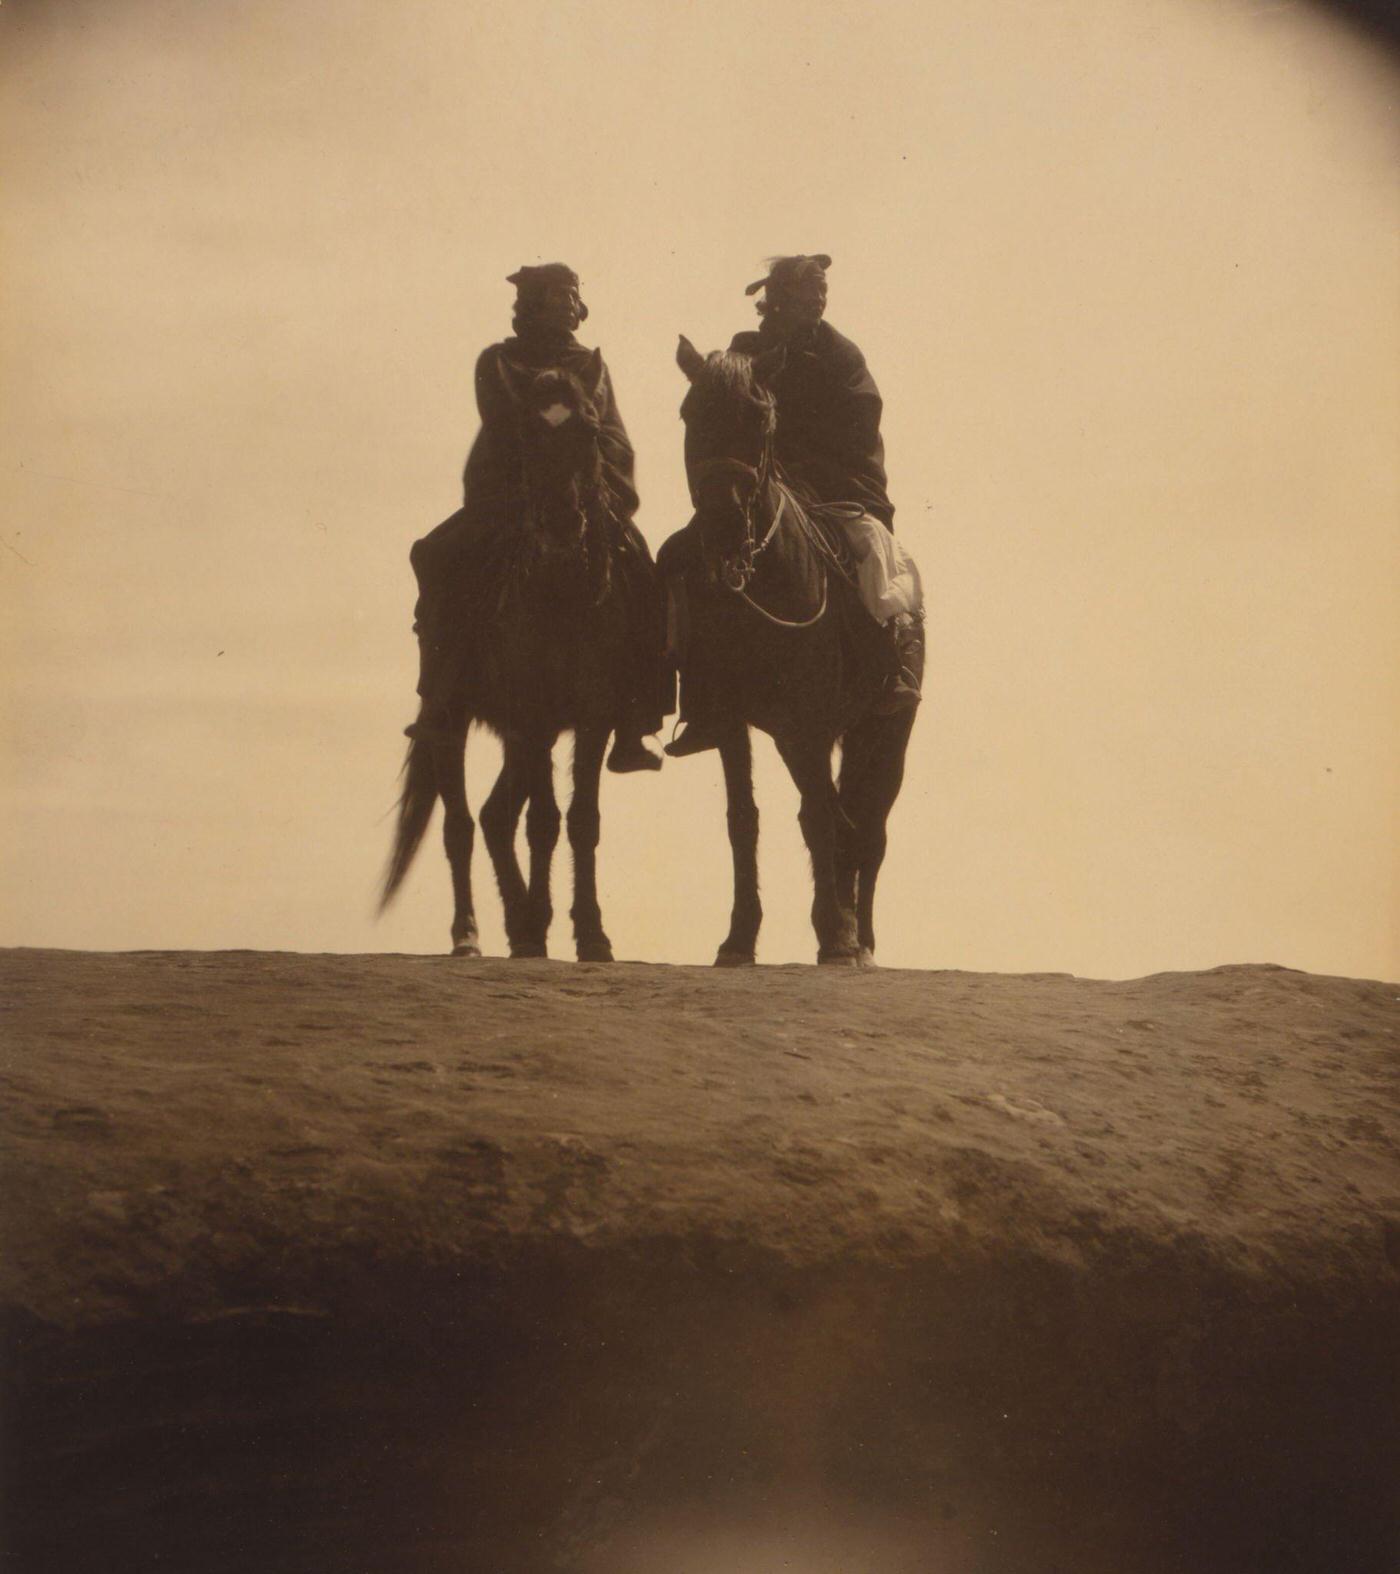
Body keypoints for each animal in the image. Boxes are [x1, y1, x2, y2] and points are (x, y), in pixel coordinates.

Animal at [379, 352, 648, 956]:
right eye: (527, 433)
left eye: (590, 430)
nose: (561, 522)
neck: (560, 592)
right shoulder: (533, 716)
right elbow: (543, 822)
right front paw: (543, 926)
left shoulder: (590, 718)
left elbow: (582, 820)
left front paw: (589, 934)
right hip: (452, 721)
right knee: (461, 825)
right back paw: (470, 934)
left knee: (494, 817)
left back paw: (521, 924)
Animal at [667, 333, 919, 963]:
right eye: (690, 414)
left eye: (759, 417)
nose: (722, 521)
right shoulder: (733, 719)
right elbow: (744, 819)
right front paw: (739, 936)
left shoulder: (808, 725)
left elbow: (821, 819)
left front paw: (838, 935)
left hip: (884, 735)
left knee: (867, 827)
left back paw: (862, 937)